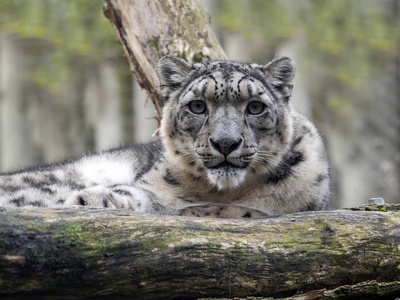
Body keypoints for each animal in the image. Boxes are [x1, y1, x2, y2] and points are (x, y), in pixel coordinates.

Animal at [0, 55, 332, 217]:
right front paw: (93, 199)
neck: (223, 193)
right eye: (197, 106)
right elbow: (138, 193)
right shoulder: (152, 189)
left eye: (255, 106)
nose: (225, 143)